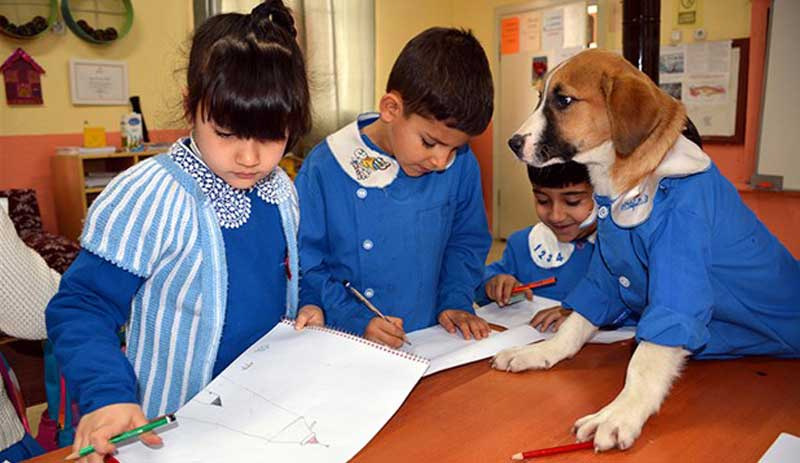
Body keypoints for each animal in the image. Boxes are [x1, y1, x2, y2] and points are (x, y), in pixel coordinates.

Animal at [494, 50, 780, 454]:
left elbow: (646, 357)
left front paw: (620, 412)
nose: (512, 143)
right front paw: (540, 351)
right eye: (540, 97)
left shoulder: (679, 271)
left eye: (563, 100)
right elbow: (576, 322)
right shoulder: (606, 274)